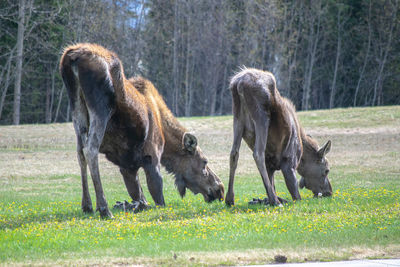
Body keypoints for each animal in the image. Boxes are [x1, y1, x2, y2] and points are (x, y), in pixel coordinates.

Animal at [59, 43, 223, 219]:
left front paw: (130, 204)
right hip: (101, 107)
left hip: (77, 109)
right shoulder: (152, 156)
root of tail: (72, 58)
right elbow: (158, 198)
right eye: (204, 161)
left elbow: (138, 195)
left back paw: (87, 206)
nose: (219, 188)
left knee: (80, 152)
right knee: (90, 149)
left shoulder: (127, 166)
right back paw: (104, 209)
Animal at [225, 68, 332, 206]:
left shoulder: (270, 165)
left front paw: (261, 199)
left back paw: (230, 199)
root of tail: (238, 84)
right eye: (326, 170)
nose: (329, 192)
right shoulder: (289, 162)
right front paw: (271, 199)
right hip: (261, 117)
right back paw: (275, 201)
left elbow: (271, 185)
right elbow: (296, 196)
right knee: (258, 153)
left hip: (237, 118)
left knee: (234, 153)